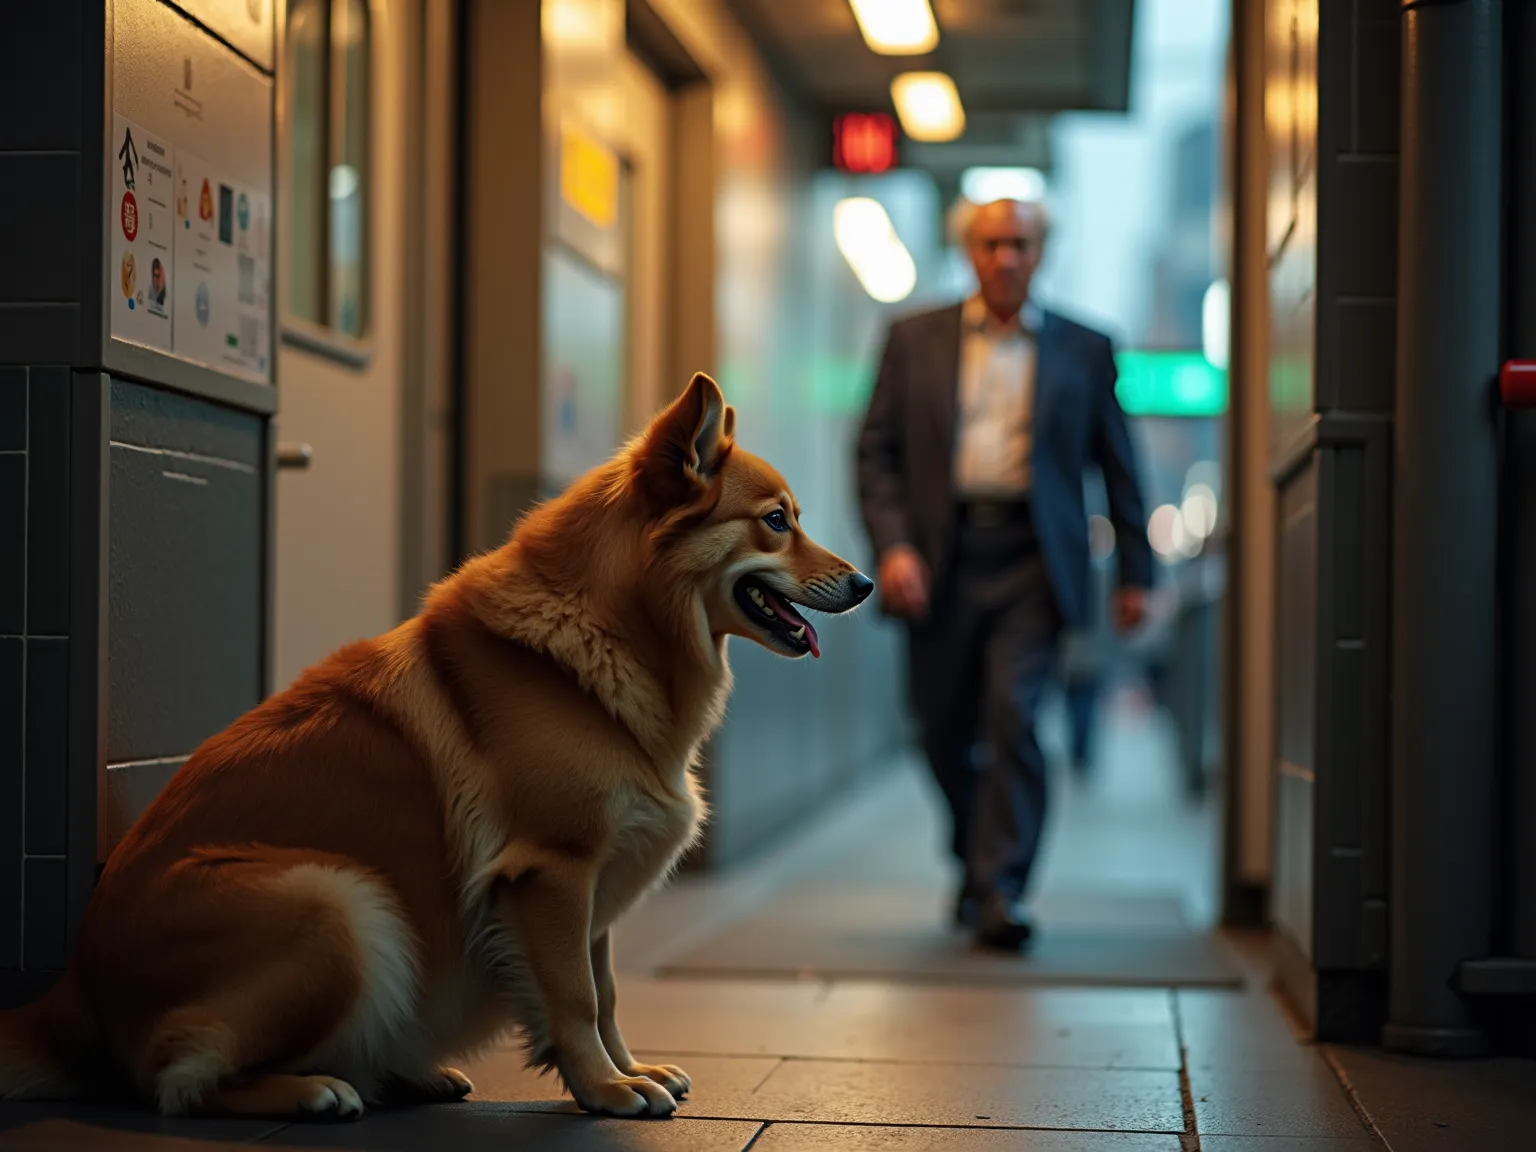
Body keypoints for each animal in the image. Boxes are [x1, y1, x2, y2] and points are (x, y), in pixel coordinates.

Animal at [0, 374, 872, 1124]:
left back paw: (403, 1072)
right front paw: (604, 1088)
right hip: (339, 903)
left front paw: (628, 1069)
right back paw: (314, 1090)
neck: (612, 625)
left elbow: (608, 988)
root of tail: (70, 995)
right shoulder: (553, 870)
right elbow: (577, 996)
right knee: (177, 1079)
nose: (865, 583)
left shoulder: (597, 876)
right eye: (777, 520)